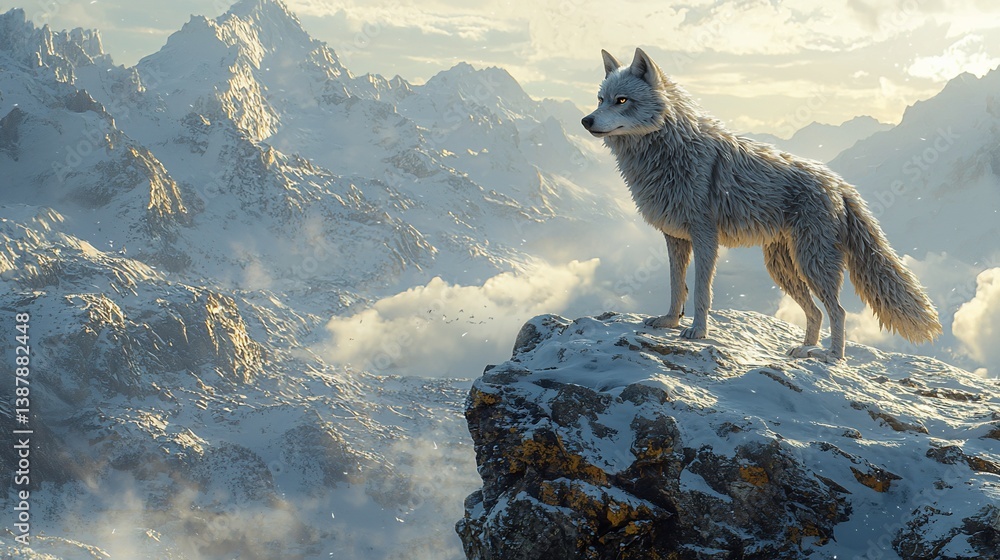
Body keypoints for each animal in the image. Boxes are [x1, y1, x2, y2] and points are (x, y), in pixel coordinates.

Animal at [582, 48, 941, 362]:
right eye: (601, 99)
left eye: (622, 100)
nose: (586, 120)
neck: (667, 152)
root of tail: (838, 183)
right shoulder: (675, 238)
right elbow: (676, 286)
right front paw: (669, 321)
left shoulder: (705, 237)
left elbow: (700, 292)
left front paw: (697, 332)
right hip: (783, 268)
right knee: (815, 312)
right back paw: (804, 349)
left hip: (811, 263)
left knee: (837, 311)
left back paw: (831, 357)